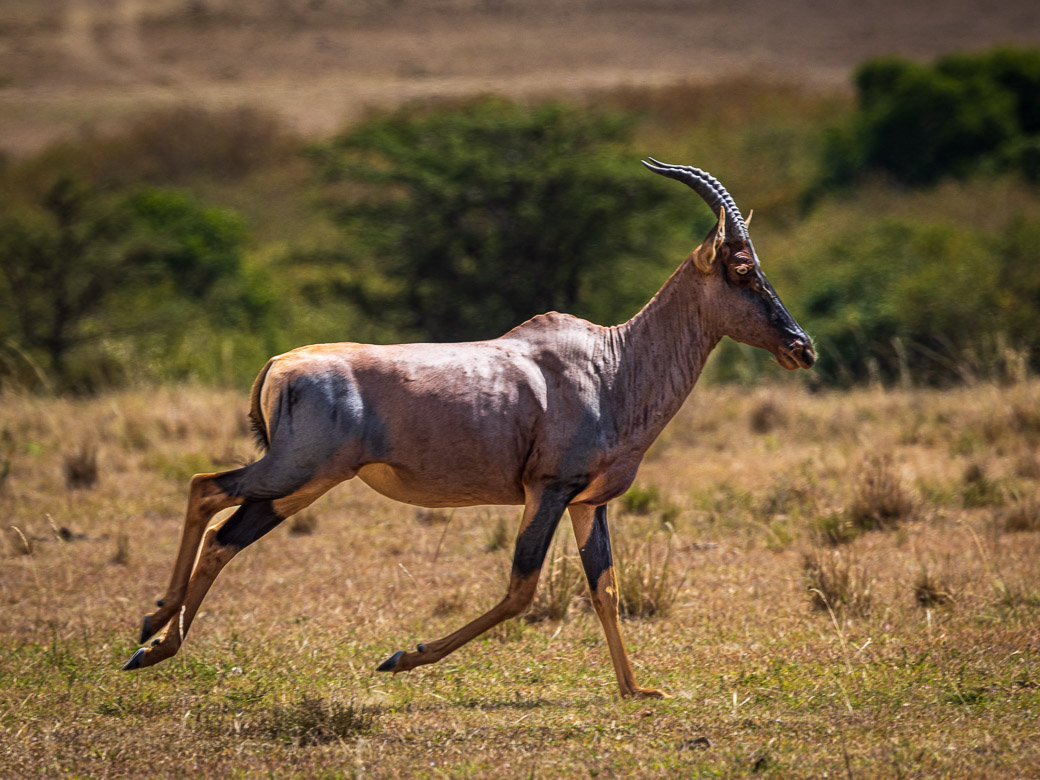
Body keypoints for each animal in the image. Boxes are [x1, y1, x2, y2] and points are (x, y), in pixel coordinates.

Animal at [123, 160, 811, 703]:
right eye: (741, 270)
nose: (801, 347)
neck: (611, 362)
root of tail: (279, 363)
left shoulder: (587, 503)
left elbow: (606, 589)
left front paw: (637, 689)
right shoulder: (548, 490)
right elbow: (521, 589)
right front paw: (400, 657)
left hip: (302, 484)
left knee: (225, 535)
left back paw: (154, 646)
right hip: (296, 469)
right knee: (205, 488)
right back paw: (150, 627)